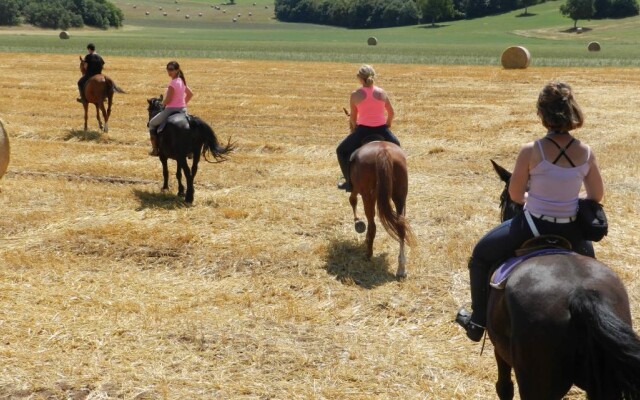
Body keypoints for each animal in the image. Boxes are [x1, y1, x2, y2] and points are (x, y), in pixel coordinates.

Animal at [348, 141, 418, 278]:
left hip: (368, 195)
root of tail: (383, 151)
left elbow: (352, 199)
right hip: (400, 197)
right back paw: (401, 268)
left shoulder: (356, 189)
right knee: (401, 227)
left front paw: (357, 222)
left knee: (372, 225)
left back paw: (368, 254)